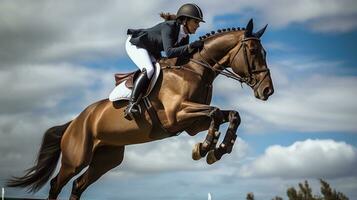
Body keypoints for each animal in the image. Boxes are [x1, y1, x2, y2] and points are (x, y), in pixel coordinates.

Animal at [7, 18, 272, 198]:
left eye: (265, 52)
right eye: (252, 51)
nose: (267, 90)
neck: (197, 69)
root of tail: (74, 122)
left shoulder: (193, 123)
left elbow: (231, 115)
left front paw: (219, 150)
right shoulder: (177, 115)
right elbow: (216, 112)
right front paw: (206, 148)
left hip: (107, 159)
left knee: (78, 185)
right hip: (76, 159)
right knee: (57, 184)